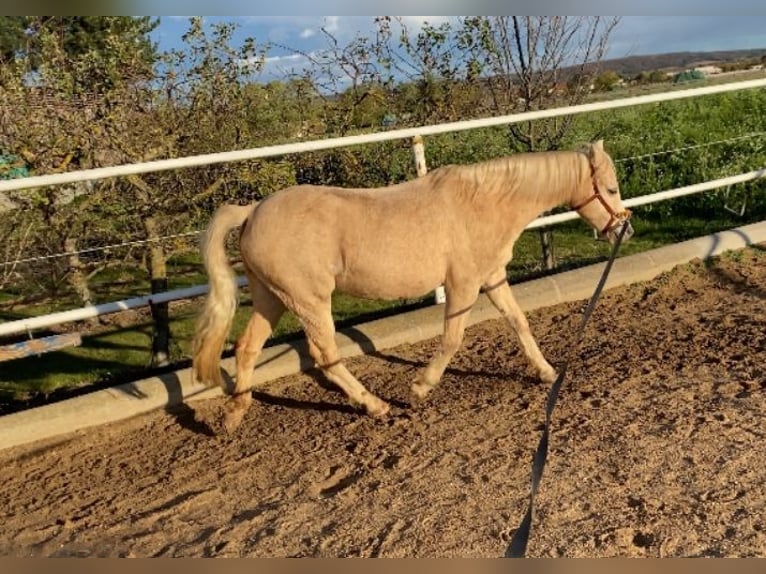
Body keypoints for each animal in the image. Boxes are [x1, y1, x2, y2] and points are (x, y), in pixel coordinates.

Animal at [194, 142, 636, 434]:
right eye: (611, 189)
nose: (625, 230)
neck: (483, 203)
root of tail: (252, 211)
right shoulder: (462, 285)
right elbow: (453, 338)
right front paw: (421, 387)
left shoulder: (493, 277)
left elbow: (519, 322)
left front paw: (546, 372)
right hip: (308, 301)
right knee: (325, 355)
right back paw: (374, 405)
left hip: (272, 298)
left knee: (247, 349)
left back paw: (234, 414)